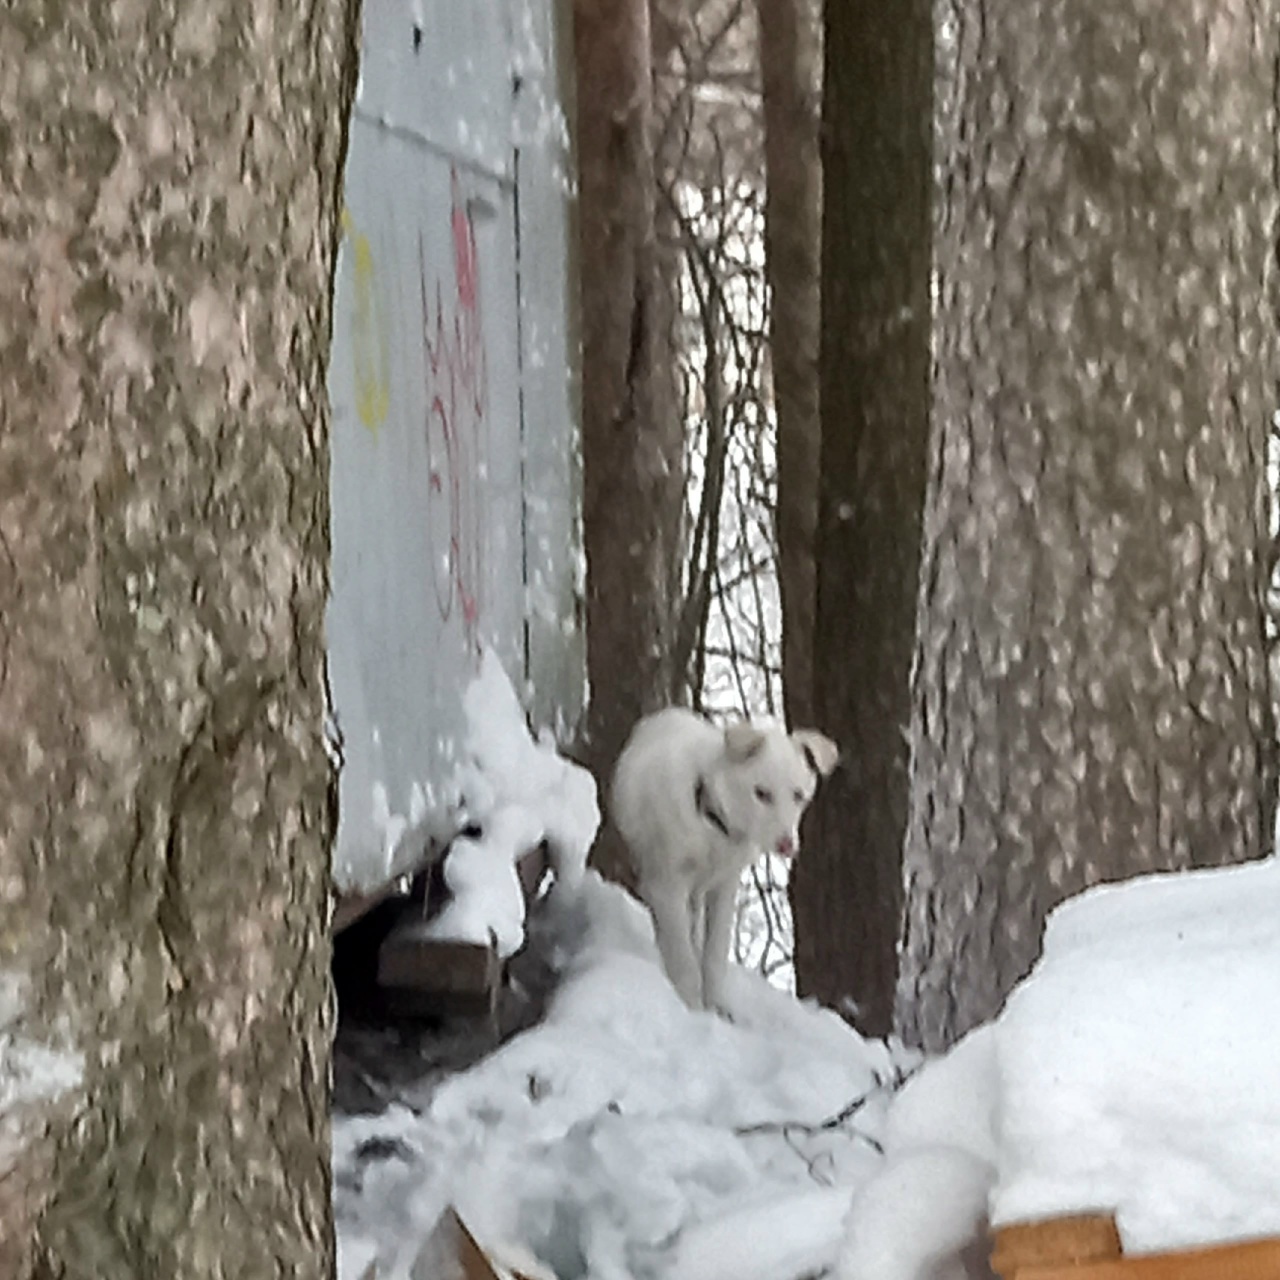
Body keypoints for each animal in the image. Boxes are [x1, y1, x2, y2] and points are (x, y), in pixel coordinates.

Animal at [609, 707, 839, 1012]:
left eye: (798, 795)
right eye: (761, 793)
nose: (786, 846)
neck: (711, 822)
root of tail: (669, 713)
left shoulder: (725, 886)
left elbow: (714, 956)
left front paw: (714, 1007)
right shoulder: (667, 886)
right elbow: (683, 960)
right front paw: (692, 1008)